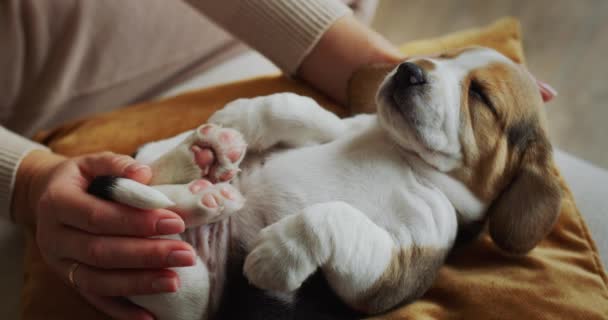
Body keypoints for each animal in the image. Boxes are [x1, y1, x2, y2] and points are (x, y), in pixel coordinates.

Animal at [89, 46, 560, 318]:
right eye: (444, 55)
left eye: (480, 95)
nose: (408, 70)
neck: (405, 156)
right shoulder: (347, 125)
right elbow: (303, 111)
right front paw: (241, 116)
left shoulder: (388, 274)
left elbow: (335, 217)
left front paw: (275, 255)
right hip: (155, 182)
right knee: (152, 173)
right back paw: (207, 153)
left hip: (181, 287)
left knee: (173, 247)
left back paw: (206, 196)